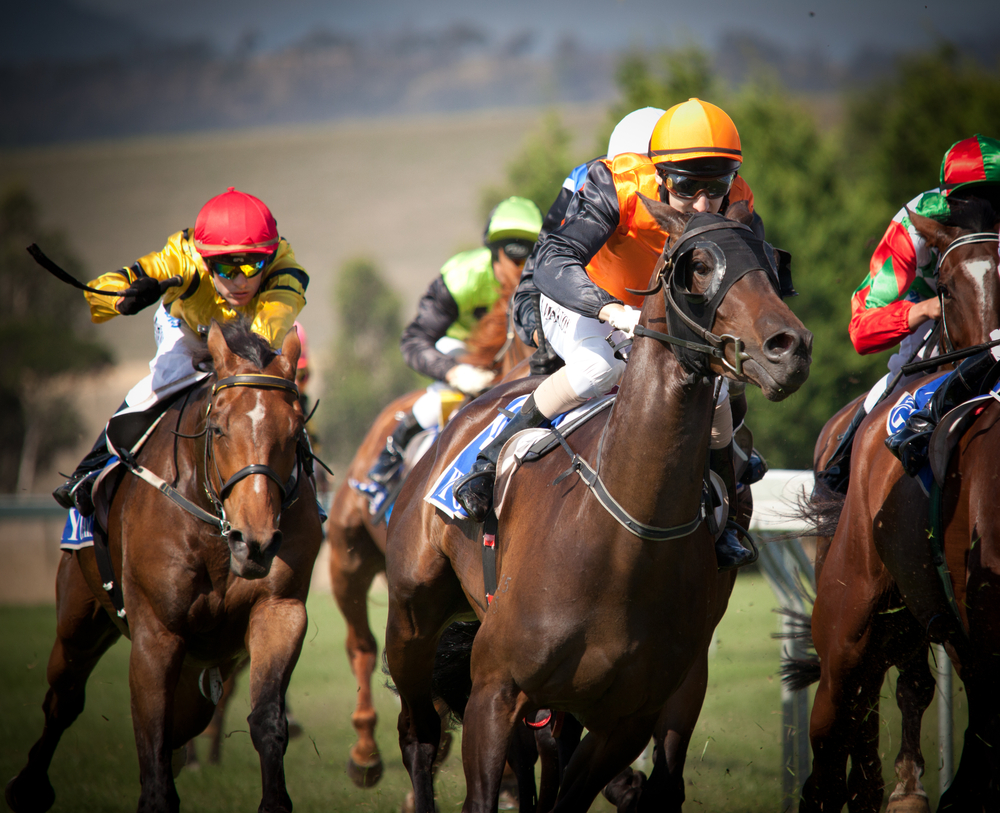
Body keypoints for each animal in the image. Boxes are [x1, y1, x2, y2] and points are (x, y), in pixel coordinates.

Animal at [4, 318, 324, 812]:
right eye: (218, 428)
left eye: (294, 433)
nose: (255, 542)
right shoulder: (156, 632)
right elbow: (150, 728)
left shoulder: (280, 610)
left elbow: (267, 718)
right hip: (80, 619)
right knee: (65, 696)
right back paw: (29, 787)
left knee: (183, 721)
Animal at [382, 197, 812, 812]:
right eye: (699, 265)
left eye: (775, 265)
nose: (789, 348)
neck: (621, 548)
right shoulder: (495, 687)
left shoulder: (627, 719)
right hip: (412, 617)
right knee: (419, 734)